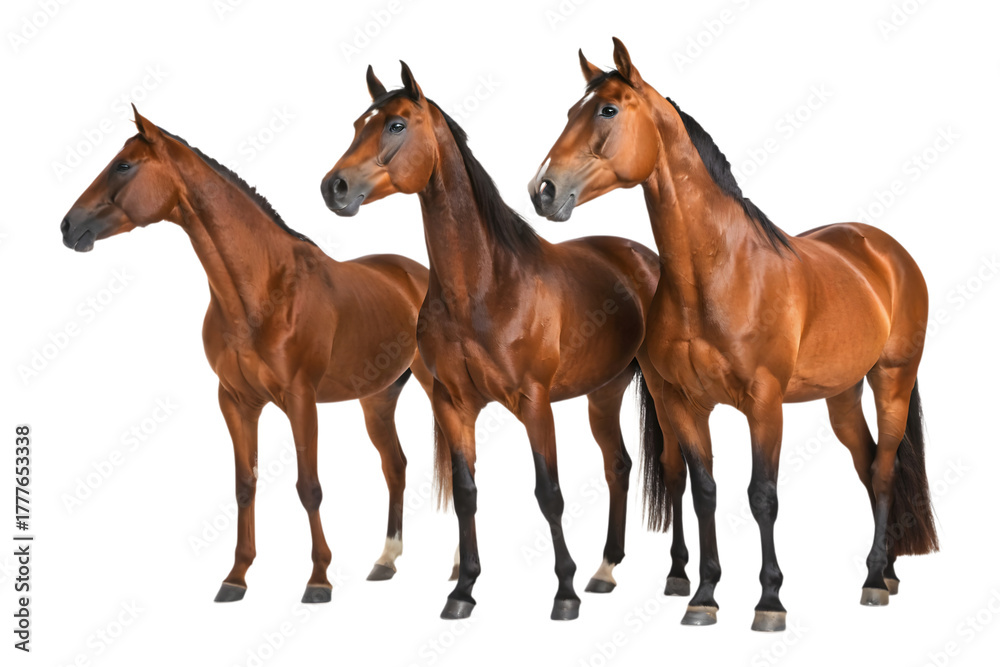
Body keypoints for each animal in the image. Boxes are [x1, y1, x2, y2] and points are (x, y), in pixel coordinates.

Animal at [60, 105, 438, 604]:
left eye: (123, 165)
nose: (68, 226)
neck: (260, 291)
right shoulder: (236, 401)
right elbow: (245, 486)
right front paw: (236, 577)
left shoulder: (300, 400)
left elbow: (309, 487)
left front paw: (319, 579)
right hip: (377, 398)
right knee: (395, 466)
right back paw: (385, 561)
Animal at [320, 63, 689, 621]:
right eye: (358, 123)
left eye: (396, 125)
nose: (334, 187)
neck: (483, 286)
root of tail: (643, 258)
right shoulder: (454, 404)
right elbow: (466, 493)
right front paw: (463, 589)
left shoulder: (534, 403)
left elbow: (549, 493)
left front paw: (564, 592)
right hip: (604, 392)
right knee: (619, 466)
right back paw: (606, 570)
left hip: (658, 392)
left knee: (672, 466)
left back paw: (676, 574)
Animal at [529, 38, 938, 632]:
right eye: (568, 112)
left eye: (606, 110)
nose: (543, 189)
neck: (715, 275)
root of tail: (888, 251)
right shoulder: (686, 404)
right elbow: (705, 492)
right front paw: (704, 595)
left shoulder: (764, 404)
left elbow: (762, 496)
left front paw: (769, 601)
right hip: (842, 395)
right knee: (865, 466)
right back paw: (884, 571)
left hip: (893, 381)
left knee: (884, 470)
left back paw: (873, 582)